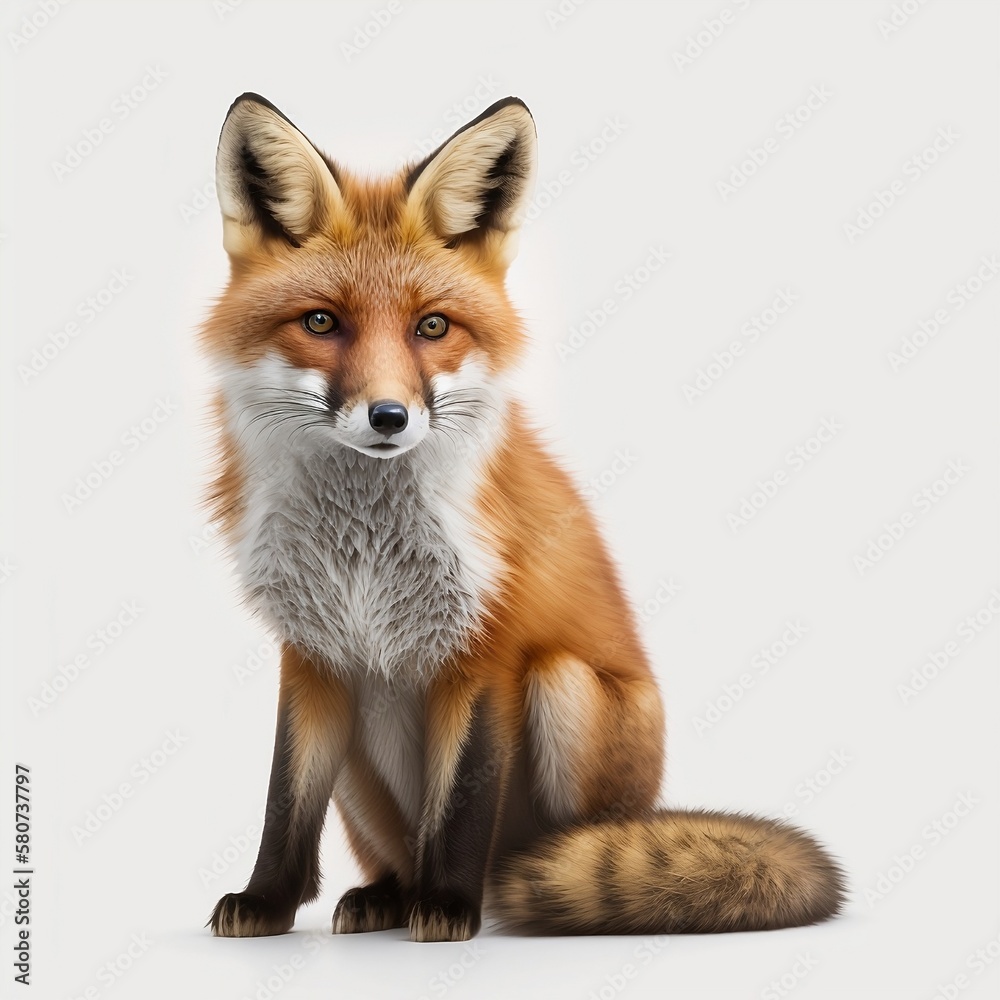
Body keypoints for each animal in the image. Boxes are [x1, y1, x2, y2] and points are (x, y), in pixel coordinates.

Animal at [202, 93, 844, 942]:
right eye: (320, 323)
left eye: (432, 327)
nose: (388, 416)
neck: (362, 554)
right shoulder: (312, 654)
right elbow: (285, 801)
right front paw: (268, 901)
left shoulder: (492, 650)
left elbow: (465, 799)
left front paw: (448, 906)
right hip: (365, 757)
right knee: (394, 852)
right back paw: (389, 894)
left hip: (563, 686)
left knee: (553, 849)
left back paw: (517, 891)